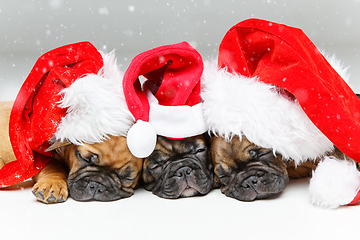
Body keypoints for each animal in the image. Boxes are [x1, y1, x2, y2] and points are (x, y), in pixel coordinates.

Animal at [0, 100, 143, 203]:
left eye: (129, 177)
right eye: (84, 158)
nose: (97, 185)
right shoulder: (38, 158)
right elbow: (54, 167)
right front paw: (52, 184)